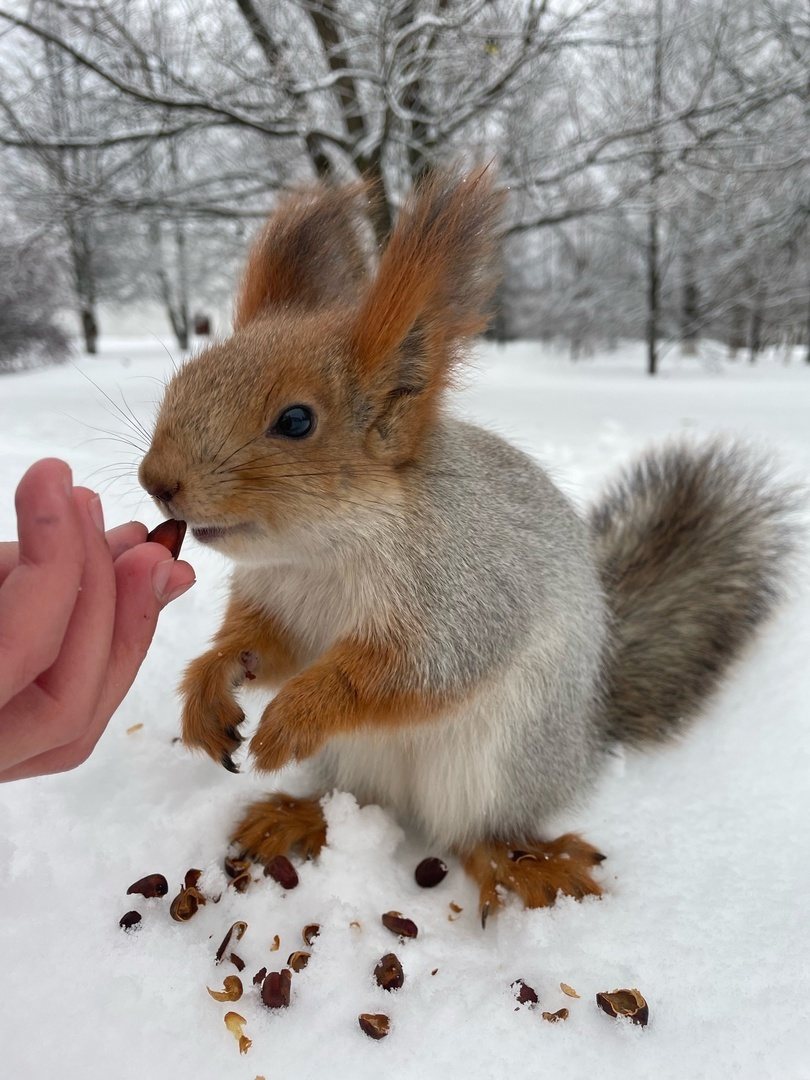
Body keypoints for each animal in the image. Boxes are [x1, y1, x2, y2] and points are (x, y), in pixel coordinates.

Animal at [138, 168, 794, 920]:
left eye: (296, 421)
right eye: (182, 380)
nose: (157, 482)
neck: (321, 554)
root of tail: (585, 735)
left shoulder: (467, 591)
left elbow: (413, 671)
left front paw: (292, 716)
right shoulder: (276, 599)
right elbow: (267, 647)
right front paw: (212, 683)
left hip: (498, 764)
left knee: (477, 832)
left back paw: (524, 865)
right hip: (357, 760)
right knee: (355, 804)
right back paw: (296, 818)